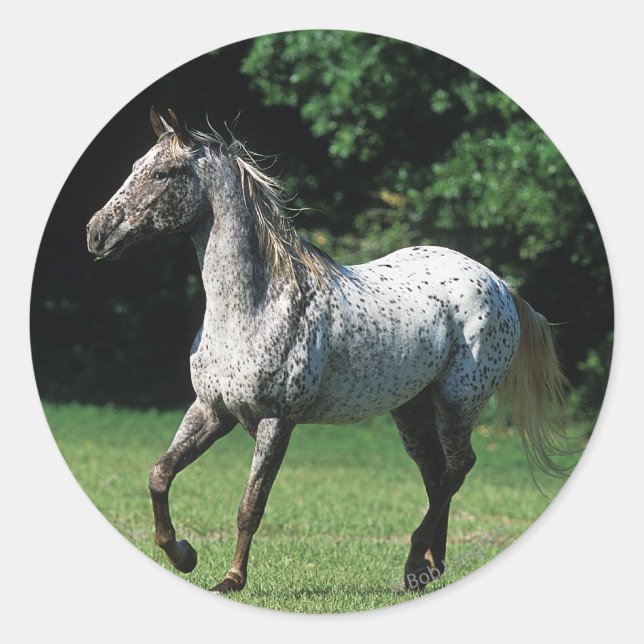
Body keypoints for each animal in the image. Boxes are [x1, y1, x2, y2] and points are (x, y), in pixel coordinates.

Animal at [86, 107, 568, 594]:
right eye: (135, 166)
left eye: (163, 173)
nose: (96, 233)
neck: (254, 305)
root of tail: (499, 283)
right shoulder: (211, 410)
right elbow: (159, 474)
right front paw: (183, 555)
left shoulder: (276, 422)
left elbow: (250, 506)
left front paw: (231, 579)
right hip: (412, 409)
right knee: (437, 474)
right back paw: (427, 569)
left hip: (458, 402)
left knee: (457, 468)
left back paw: (416, 561)